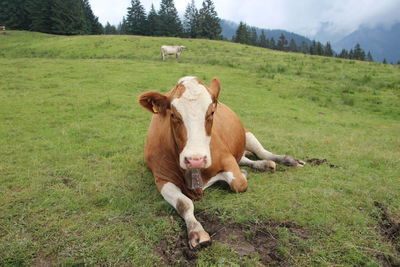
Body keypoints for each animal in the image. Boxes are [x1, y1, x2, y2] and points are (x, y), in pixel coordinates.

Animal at [138, 76, 304, 250]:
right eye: (173, 115)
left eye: (211, 112)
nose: (196, 160)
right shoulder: (162, 178)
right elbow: (184, 203)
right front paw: (197, 232)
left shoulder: (227, 159)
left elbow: (238, 183)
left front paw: (237, 175)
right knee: (246, 159)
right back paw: (264, 165)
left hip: (247, 134)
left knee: (262, 152)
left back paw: (286, 160)